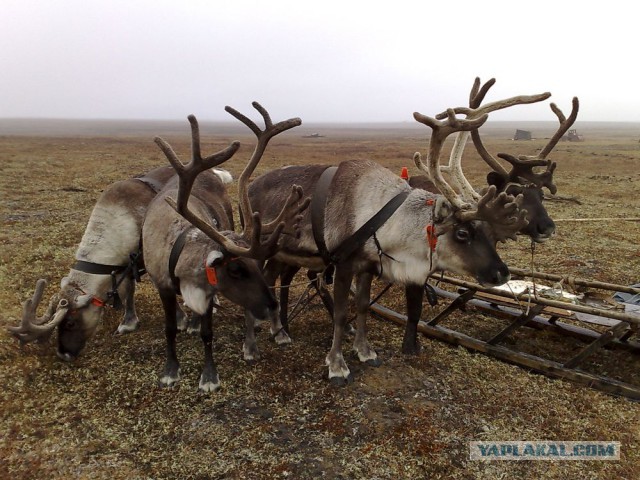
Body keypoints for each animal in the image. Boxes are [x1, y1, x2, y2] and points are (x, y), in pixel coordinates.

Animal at [7, 164, 233, 361]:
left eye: (70, 322)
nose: (63, 354)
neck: (121, 220)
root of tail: (215, 172)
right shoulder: (125, 265)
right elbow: (127, 292)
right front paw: (128, 322)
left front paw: (178, 320)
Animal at [144, 103, 309, 392]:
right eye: (236, 270)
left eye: (257, 265)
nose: (273, 306)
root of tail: (209, 172)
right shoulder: (162, 285)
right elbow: (169, 329)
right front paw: (170, 370)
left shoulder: (209, 290)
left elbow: (208, 333)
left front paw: (209, 375)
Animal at [247, 97, 534, 385]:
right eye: (462, 233)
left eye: (490, 234)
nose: (502, 273)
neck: (380, 216)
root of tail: (250, 186)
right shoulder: (344, 264)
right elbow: (341, 314)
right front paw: (337, 365)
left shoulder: (367, 266)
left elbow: (363, 305)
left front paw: (365, 351)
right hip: (258, 246)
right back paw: (255, 338)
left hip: (282, 252)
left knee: (271, 278)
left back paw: (279, 331)